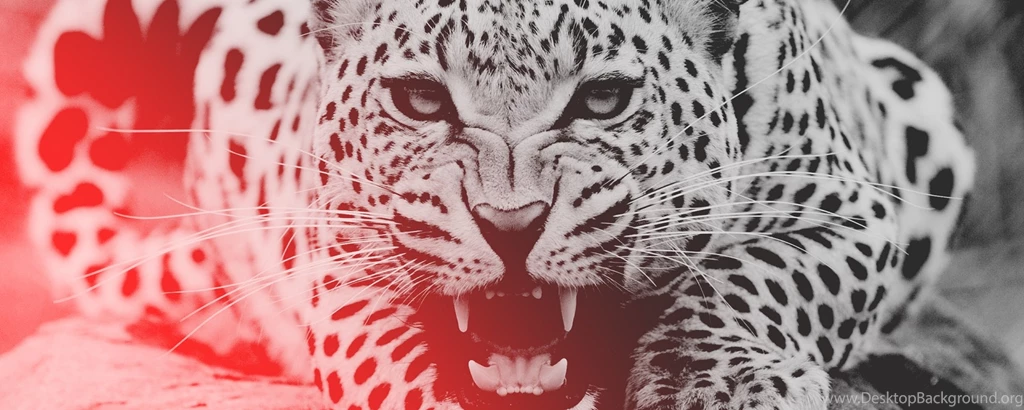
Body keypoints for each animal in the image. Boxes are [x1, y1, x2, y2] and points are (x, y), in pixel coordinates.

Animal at [15, 0, 975, 409]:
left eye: (603, 99)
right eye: (420, 100)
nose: (510, 226)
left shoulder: (852, 209)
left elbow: (755, 278)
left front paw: (716, 381)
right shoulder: (336, 259)